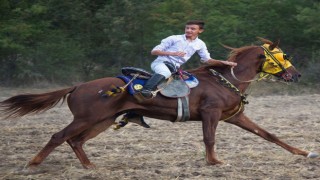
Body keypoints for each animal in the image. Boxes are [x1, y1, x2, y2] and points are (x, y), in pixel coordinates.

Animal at [0, 37, 318, 169]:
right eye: (283, 56)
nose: (297, 74)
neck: (226, 78)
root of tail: (78, 85)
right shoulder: (211, 114)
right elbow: (209, 139)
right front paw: (215, 162)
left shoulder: (233, 116)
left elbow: (269, 135)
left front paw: (304, 153)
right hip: (86, 119)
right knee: (59, 136)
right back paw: (32, 164)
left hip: (101, 121)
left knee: (75, 141)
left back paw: (90, 167)